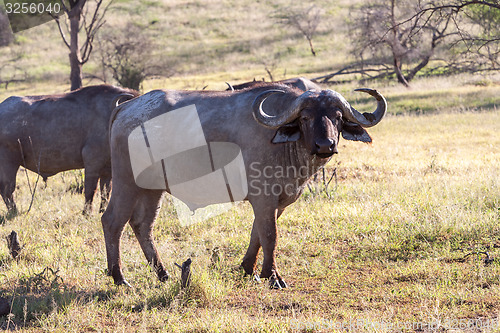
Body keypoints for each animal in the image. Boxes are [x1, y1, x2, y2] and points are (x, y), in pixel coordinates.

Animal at [0, 84, 138, 214]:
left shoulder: (108, 170)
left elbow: (106, 192)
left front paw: (101, 210)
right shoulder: (92, 164)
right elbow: (90, 190)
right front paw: (86, 213)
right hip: (9, 163)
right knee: (7, 189)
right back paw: (14, 211)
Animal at [100, 82, 382, 286]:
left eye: (337, 117)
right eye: (305, 117)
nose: (325, 145)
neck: (286, 146)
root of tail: (126, 108)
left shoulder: (275, 203)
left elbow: (257, 233)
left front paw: (249, 269)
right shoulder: (264, 198)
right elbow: (270, 235)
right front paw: (273, 276)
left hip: (151, 189)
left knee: (142, 225)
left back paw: (163, 274)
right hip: (127, 184)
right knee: (112, 221)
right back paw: (120, 278)